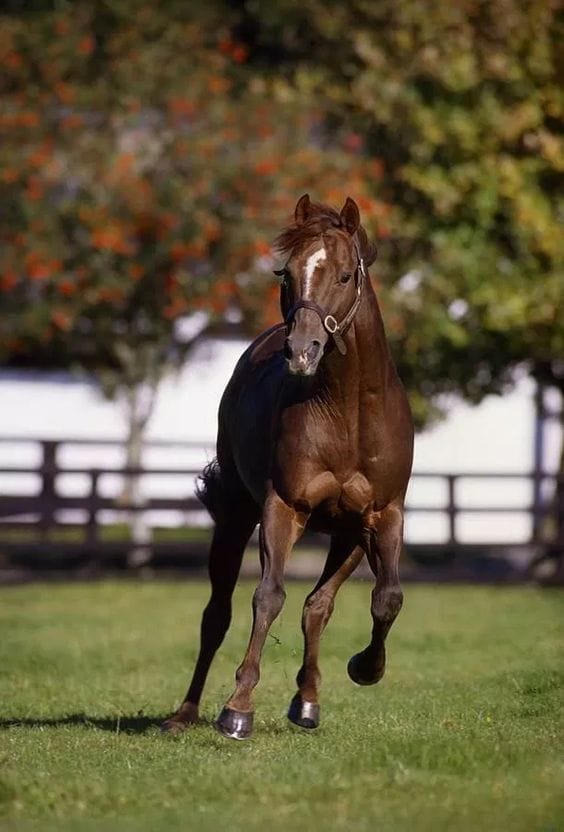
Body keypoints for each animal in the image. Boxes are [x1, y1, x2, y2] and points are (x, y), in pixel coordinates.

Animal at [162, 195, 414, 739]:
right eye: (286, 274)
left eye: (344, 275)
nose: (302, 351)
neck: (347, 415)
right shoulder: (284, 508)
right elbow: (268, 597)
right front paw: (237, 709)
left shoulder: (382, 515)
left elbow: (386, 598)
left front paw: (364, 668)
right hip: (236, 517)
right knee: (216, 615)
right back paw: (185, 713)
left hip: (347, 535)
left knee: (318, 607)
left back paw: (308, 702)